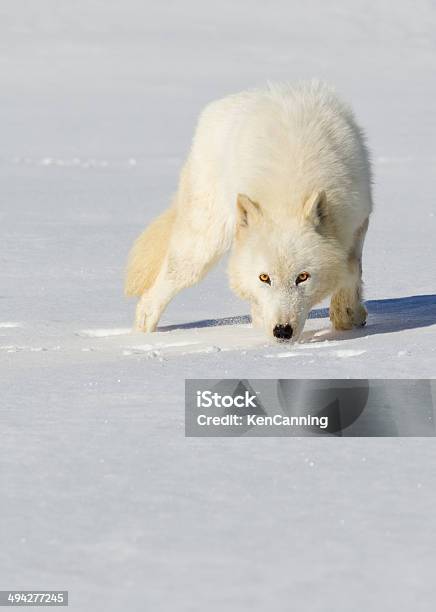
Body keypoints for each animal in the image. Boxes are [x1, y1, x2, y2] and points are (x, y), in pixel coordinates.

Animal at [125, 80, 372, 344]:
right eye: (265, 278)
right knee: (154, 297)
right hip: (202, 247)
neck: (286, 194)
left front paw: (347, 315)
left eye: (302, 277)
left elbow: (350, 268)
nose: (282, 331)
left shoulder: (357, 222)